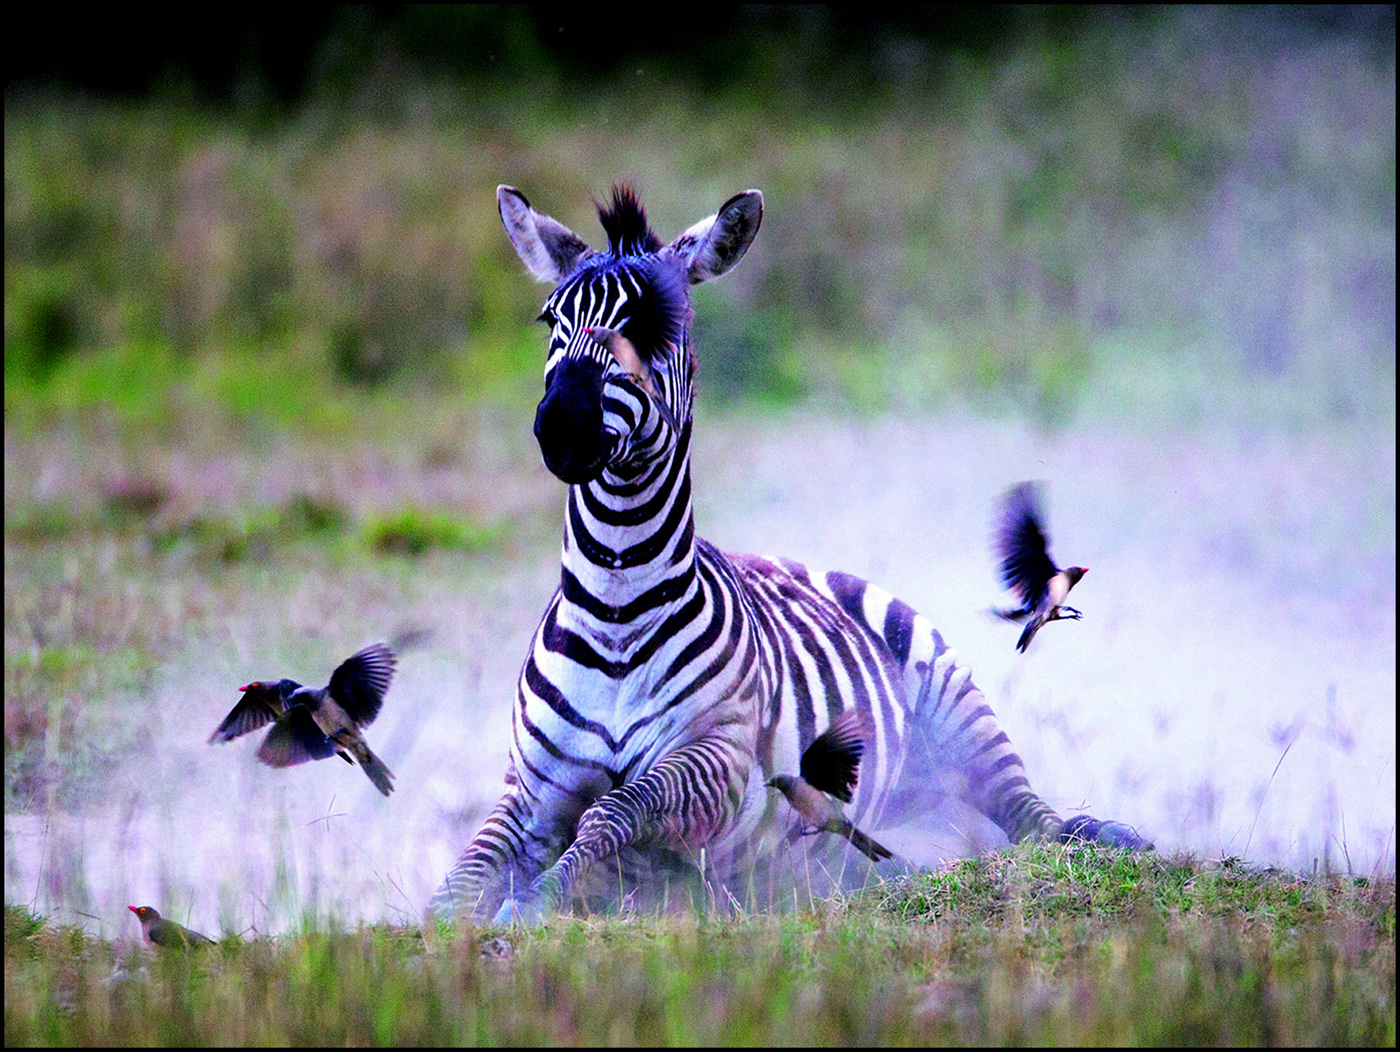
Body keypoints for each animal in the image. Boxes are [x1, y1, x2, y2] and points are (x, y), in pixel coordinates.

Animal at [430, 184, 1148, 924]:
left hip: (954, 703)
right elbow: (469, 867)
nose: (561, 427)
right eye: (552, 317)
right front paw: (454, 915)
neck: (615, 605)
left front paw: (536, 899)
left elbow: (614, 809)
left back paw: (1102, 836)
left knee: (1026, 813)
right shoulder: (530, 787)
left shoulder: (720, 762)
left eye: (654, 327)